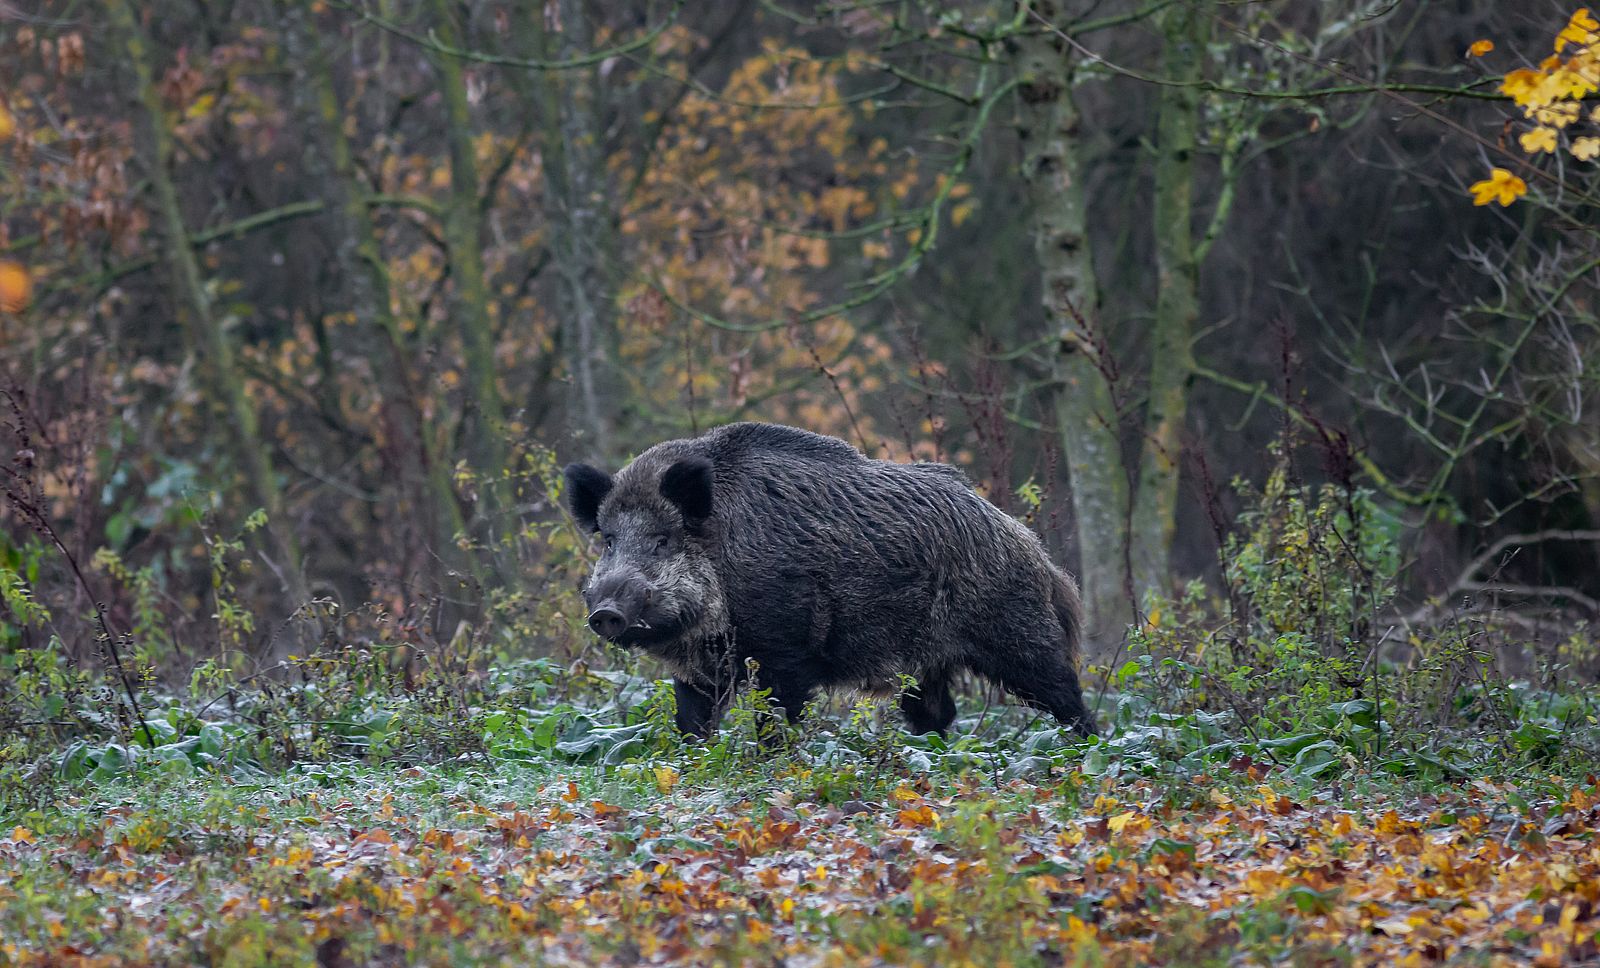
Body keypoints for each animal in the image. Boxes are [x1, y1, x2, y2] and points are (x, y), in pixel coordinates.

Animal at [563, 422, 1096, 738]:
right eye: (608, 540)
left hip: (1017, 633)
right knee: (936, 712)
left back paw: (1082, 751)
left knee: (1065, 693)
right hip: (925, 661)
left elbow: (777, 714)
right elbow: (692, 720)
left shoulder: (787, 648)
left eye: (662, 539)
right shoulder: (701, 668)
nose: (606, 612)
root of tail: (1034, 549)